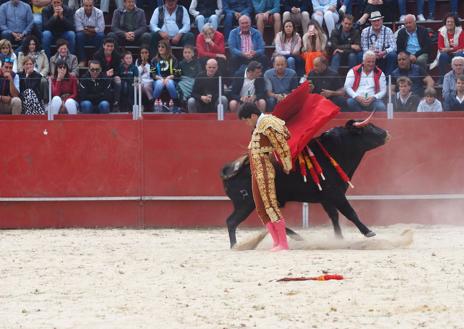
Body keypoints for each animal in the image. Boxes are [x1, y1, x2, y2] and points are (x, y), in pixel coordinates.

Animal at [221, 120, 388, 246]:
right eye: (368, 127)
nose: (386, 133)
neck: (333, 152)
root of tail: (231, 169)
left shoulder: (326, 198)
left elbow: (334, 216)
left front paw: (339, 237)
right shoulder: (336, 194)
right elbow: (350, 212)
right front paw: (368, 232)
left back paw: (296, 236)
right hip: (246, 203)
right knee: (232, 221)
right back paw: (235, 245)